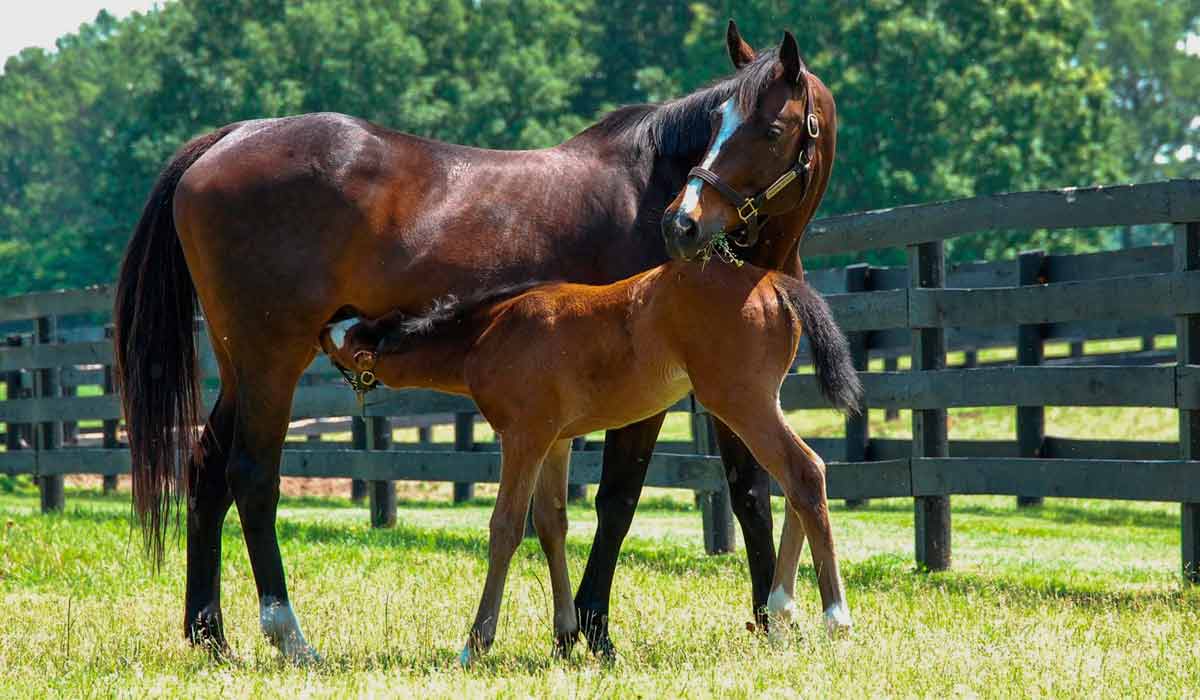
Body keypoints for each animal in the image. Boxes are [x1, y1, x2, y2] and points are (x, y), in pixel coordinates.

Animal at [319, 260, 864, 667]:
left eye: (340, 343)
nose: (322, 325)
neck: (491, 332)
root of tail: (773, 281)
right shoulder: (556, 442)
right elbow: (551, 525)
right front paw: (563, 637)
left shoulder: (523, 436)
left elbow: (506, 528)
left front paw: (476, 642)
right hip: (760, 402)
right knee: (798, 478)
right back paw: (782, 608)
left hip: (740, 400)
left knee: (804, 472)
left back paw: (835, 617)